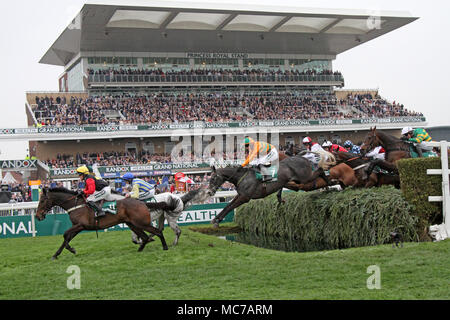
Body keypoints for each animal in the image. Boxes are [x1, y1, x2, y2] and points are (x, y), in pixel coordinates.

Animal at [35, 186, 171, 258]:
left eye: (42, 201)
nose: (37, 216)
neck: (75, 205)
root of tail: (142, 202)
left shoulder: (81, 225)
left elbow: (65, 235)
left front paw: (71, 249)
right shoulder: (77, 226)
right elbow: (66, 238)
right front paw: (56, 254)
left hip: (141, 223)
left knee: (157, 231)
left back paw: (165, 247)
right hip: (132, 224)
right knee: (145, 237)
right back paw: (140, 250)